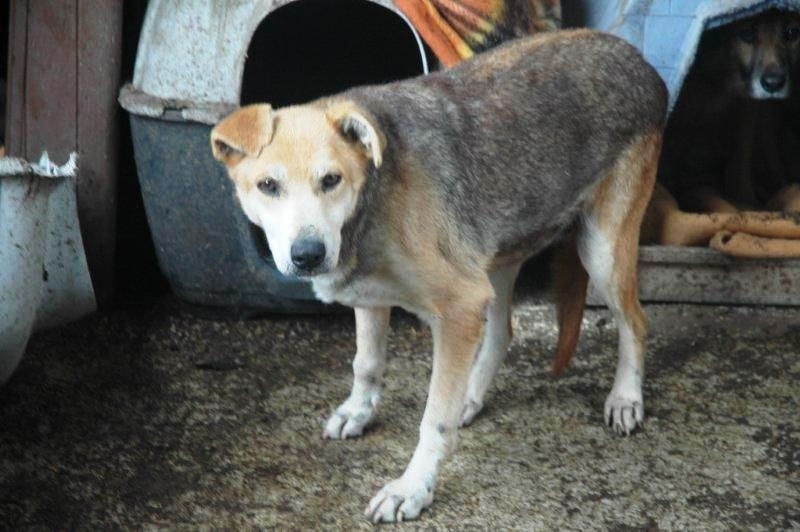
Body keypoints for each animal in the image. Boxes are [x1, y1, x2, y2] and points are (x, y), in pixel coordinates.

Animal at [209, 30, 664, 524]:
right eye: (267, 186)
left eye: (331, 180)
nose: (308, 255)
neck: (375, 191)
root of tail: (634, 56)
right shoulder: (376, 298)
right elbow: (366, 364)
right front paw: (358, 413)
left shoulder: (459, 305)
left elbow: (434, 419)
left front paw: (412, 488)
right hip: (493, 255)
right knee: (503, 330)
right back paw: (472, 396)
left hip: (600, 251)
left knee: (636, 321)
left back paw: (625, 399)